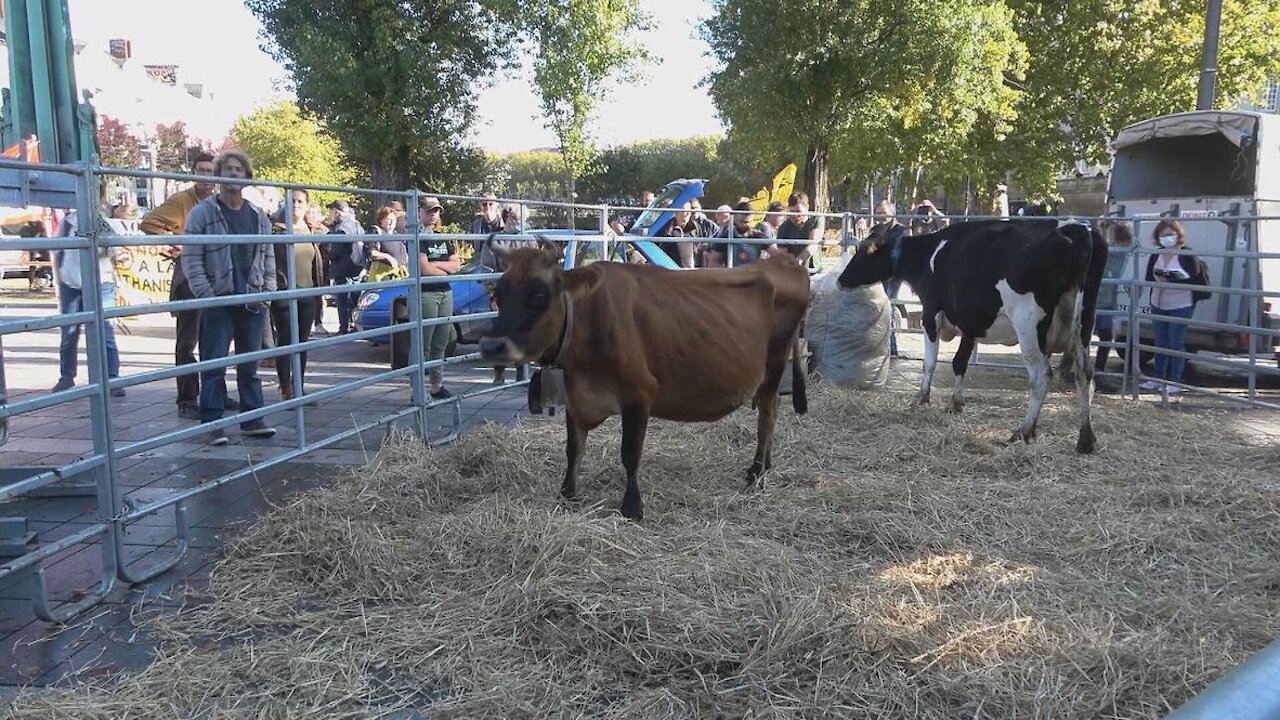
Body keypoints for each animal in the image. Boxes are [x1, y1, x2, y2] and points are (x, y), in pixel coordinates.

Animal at [481, 243, 808, 517]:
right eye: (498, 295)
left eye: (539, 295)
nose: (491, 346)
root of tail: (784, 261)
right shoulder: (575, 398)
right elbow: (573, 449)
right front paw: (567, 493)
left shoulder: (640, 393)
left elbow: (630, 453)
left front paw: (632, 505)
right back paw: (764, 467)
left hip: (775, 363)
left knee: (767, 414)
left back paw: (757, 472)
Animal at [839, 220, 1111, 453]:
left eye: (867, 249)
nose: (841, 279)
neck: (929, 255)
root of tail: (1079, 228)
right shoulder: (970, 322)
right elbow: (960, 362)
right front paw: (956, 403)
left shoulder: (931, 312)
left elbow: (930, 362)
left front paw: (922, 398)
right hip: (1085, 320)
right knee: (1084, 373)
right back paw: (1085, 438)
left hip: (1028, 322)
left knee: (1041, 374)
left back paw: (1023, 432)